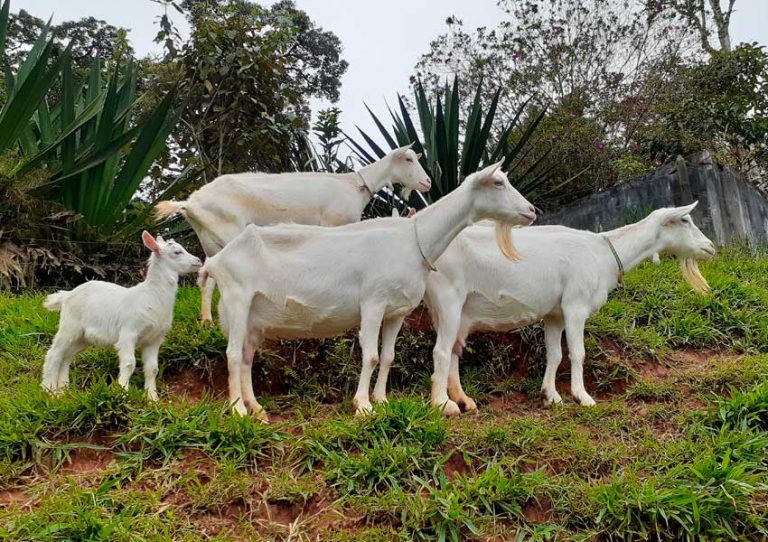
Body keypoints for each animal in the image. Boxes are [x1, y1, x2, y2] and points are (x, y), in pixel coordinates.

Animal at [156, 143, 432, 324]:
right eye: (408, 160)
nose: (428, 182)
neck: (353, 185)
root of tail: (190, 203)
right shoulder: (334, 224)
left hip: (209, 237)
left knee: (207, 277)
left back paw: (206, 320)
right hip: (228, 232)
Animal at [200, 162, 536, 420]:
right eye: (498, 182)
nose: (531, 211)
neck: (414, 239)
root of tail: (218, 260)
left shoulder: (397, 311)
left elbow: (387, 357)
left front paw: (382, 400)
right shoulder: (373, 303)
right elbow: (370, 355)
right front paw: (362, 406)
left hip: (255, 318)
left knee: (246, 356)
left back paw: (256, 408)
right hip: (237, 299)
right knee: (232, 354)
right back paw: (238, 410)